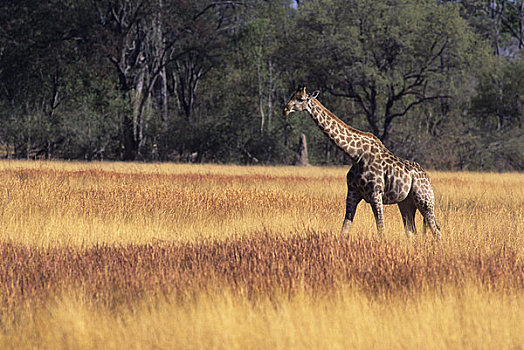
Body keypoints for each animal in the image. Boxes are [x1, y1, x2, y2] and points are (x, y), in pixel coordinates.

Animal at [284, 86, 440, 238]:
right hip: (406, 203)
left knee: (436, 229)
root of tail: (428, 179)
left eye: (301, 98)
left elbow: (381, 230)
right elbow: (345, 229)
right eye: (292, 95)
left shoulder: (376, 193)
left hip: (424, 200)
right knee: (412, 232)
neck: (355, 154)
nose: (286, 108)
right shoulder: (352, 192)